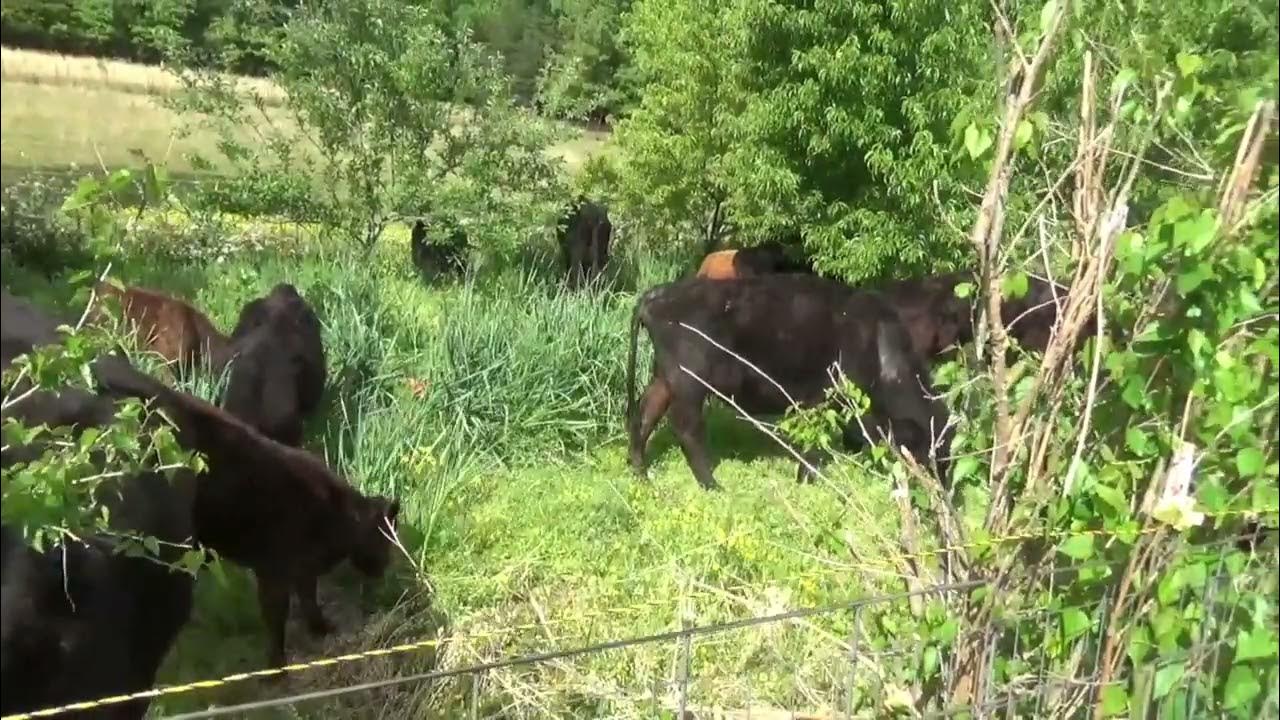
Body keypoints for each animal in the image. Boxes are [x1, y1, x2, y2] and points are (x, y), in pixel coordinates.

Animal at [91, 358, 401, 671]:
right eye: (385, 537)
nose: (385, 568)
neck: (336, 515)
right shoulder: (274, 572)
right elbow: (277, 619)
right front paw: (276, 667)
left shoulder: (302, 571)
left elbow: (309, 601)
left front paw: (321, 628)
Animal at [625, 274, 952, 490]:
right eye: (937, 445)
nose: (946, 489)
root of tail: (658, 294)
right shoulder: (825, 396)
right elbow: (815, 438)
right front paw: (806, 479)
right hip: (689, 381)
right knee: (686, 427)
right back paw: (712, 485)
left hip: (664, 378)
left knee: (644, 414)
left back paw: (641, 474)